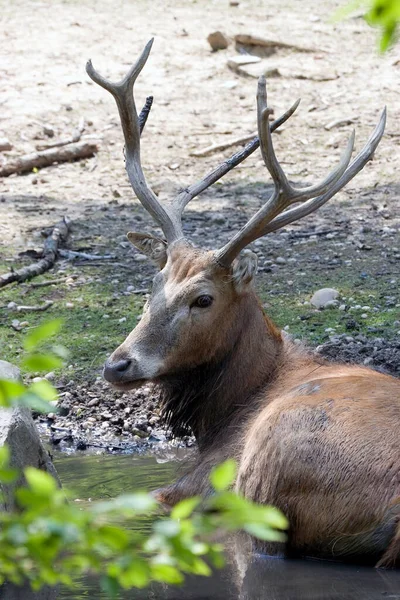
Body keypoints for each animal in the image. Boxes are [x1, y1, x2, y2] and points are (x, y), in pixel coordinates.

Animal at [85, 41, 400, 568]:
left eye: (203, 299)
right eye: (153, 283)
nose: (118, 365)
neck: (222, 413)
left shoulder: (195, 483)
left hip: (265, 476)